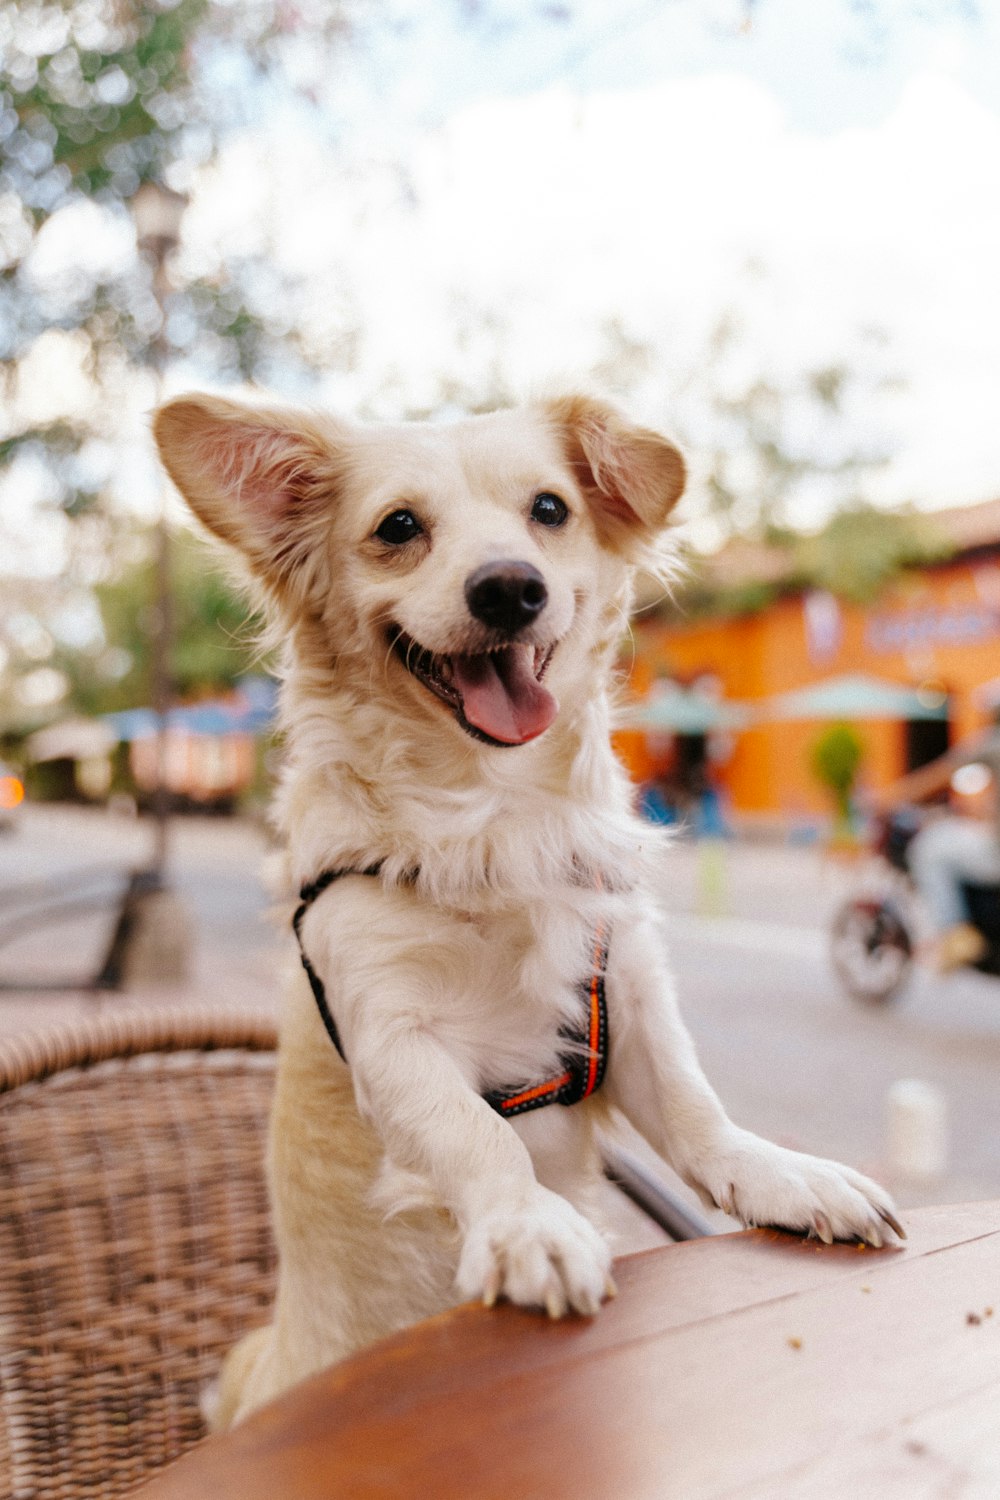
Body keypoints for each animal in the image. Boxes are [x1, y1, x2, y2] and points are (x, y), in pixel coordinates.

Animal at [152, 393, 905, 1422]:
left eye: (550, 510)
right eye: (398, 528)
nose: (510, 587)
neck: (492, 813)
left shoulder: (621, 994)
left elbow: (697, 1110)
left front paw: (784, 1175)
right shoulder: (387, 1032)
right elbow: (477, 1137)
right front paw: (528, 1226)